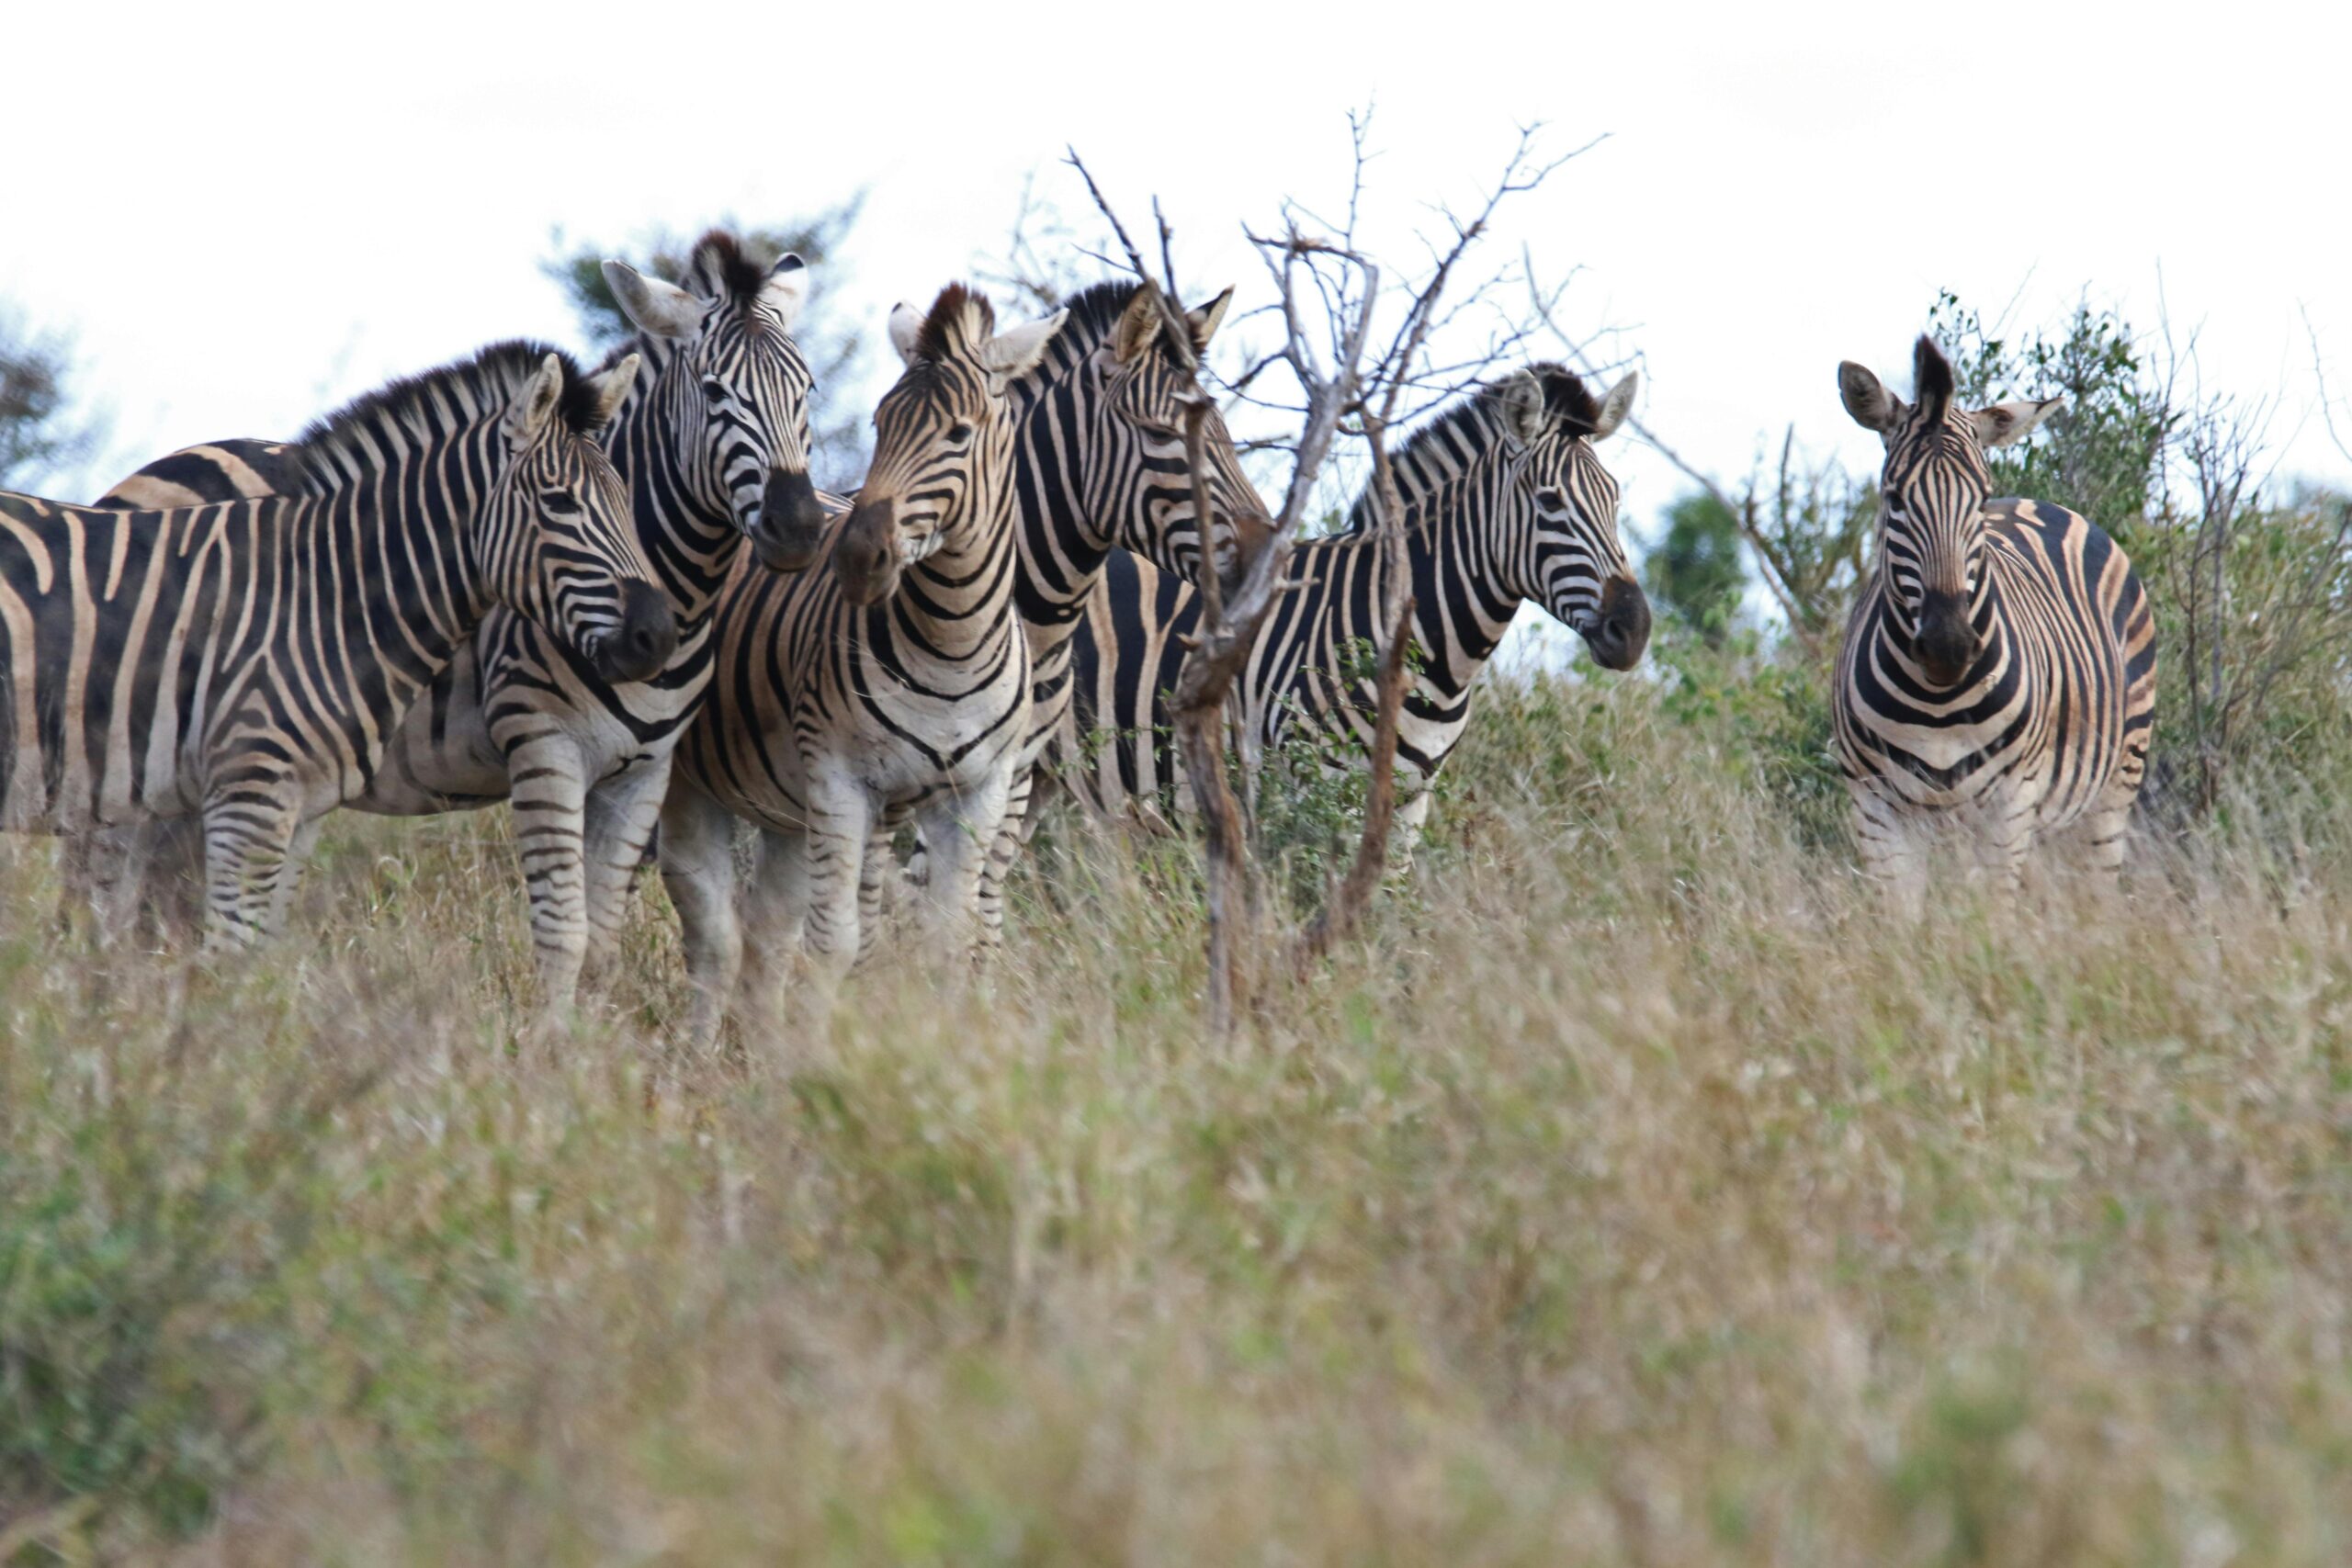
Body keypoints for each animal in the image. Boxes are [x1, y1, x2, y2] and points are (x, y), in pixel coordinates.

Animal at [5, 341, 677, 944]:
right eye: (559, 501)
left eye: (627, 495)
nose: (658, 635)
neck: (326, 593)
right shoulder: (249, 791)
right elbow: (229, 955)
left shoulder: (297, 801)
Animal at [91, 228, 828, 1006]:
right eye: (715, 393)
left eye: (807, 390)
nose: (798, 527)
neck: (677, 590)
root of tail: (144, 474)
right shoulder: (543, 749)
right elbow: (562, 936)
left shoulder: (643, 772)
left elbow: (601, 943)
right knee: (113, 898)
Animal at [662, 285, 1068, 1043]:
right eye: (880, 423)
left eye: (959, 434)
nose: (854, 557)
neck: (953, 644)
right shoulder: (841, 779)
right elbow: (835, 943)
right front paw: (816, 1057)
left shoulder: (980, 791)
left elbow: (949, 939)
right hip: (687, 782)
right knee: (710, 934)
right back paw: (696, 1058)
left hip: (786, 806)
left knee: (763, 930)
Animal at [1825, 338, 2154, 911]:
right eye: (1894, 498)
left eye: (1977, 498)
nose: (1948, 646)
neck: (1936, 704)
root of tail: (2037, 501)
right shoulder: (1875, 810)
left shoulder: (2010, 805)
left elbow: (1994, 920)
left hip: (2113, 788)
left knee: (2095, 894)